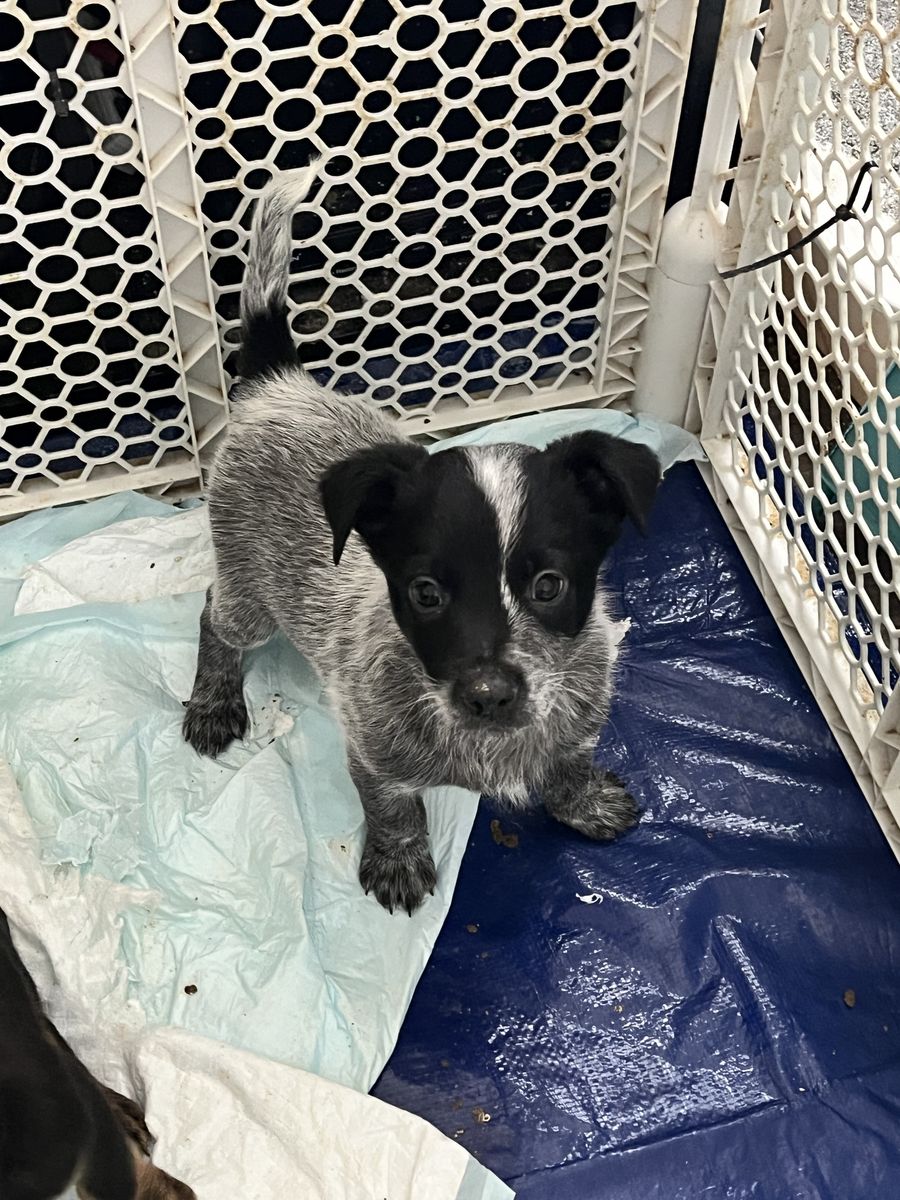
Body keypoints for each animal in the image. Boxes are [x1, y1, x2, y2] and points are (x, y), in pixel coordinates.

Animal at [183, 161, 661, 915]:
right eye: (426, 592)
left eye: (549, 584)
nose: (490, 693)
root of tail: (278, 384)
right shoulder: (374, 750)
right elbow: (394, 808)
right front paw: (399, 861)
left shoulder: (578, 713)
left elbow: (569, 758)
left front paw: (581, 802)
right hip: (248, 586)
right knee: (215, 613)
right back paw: (213, 700)